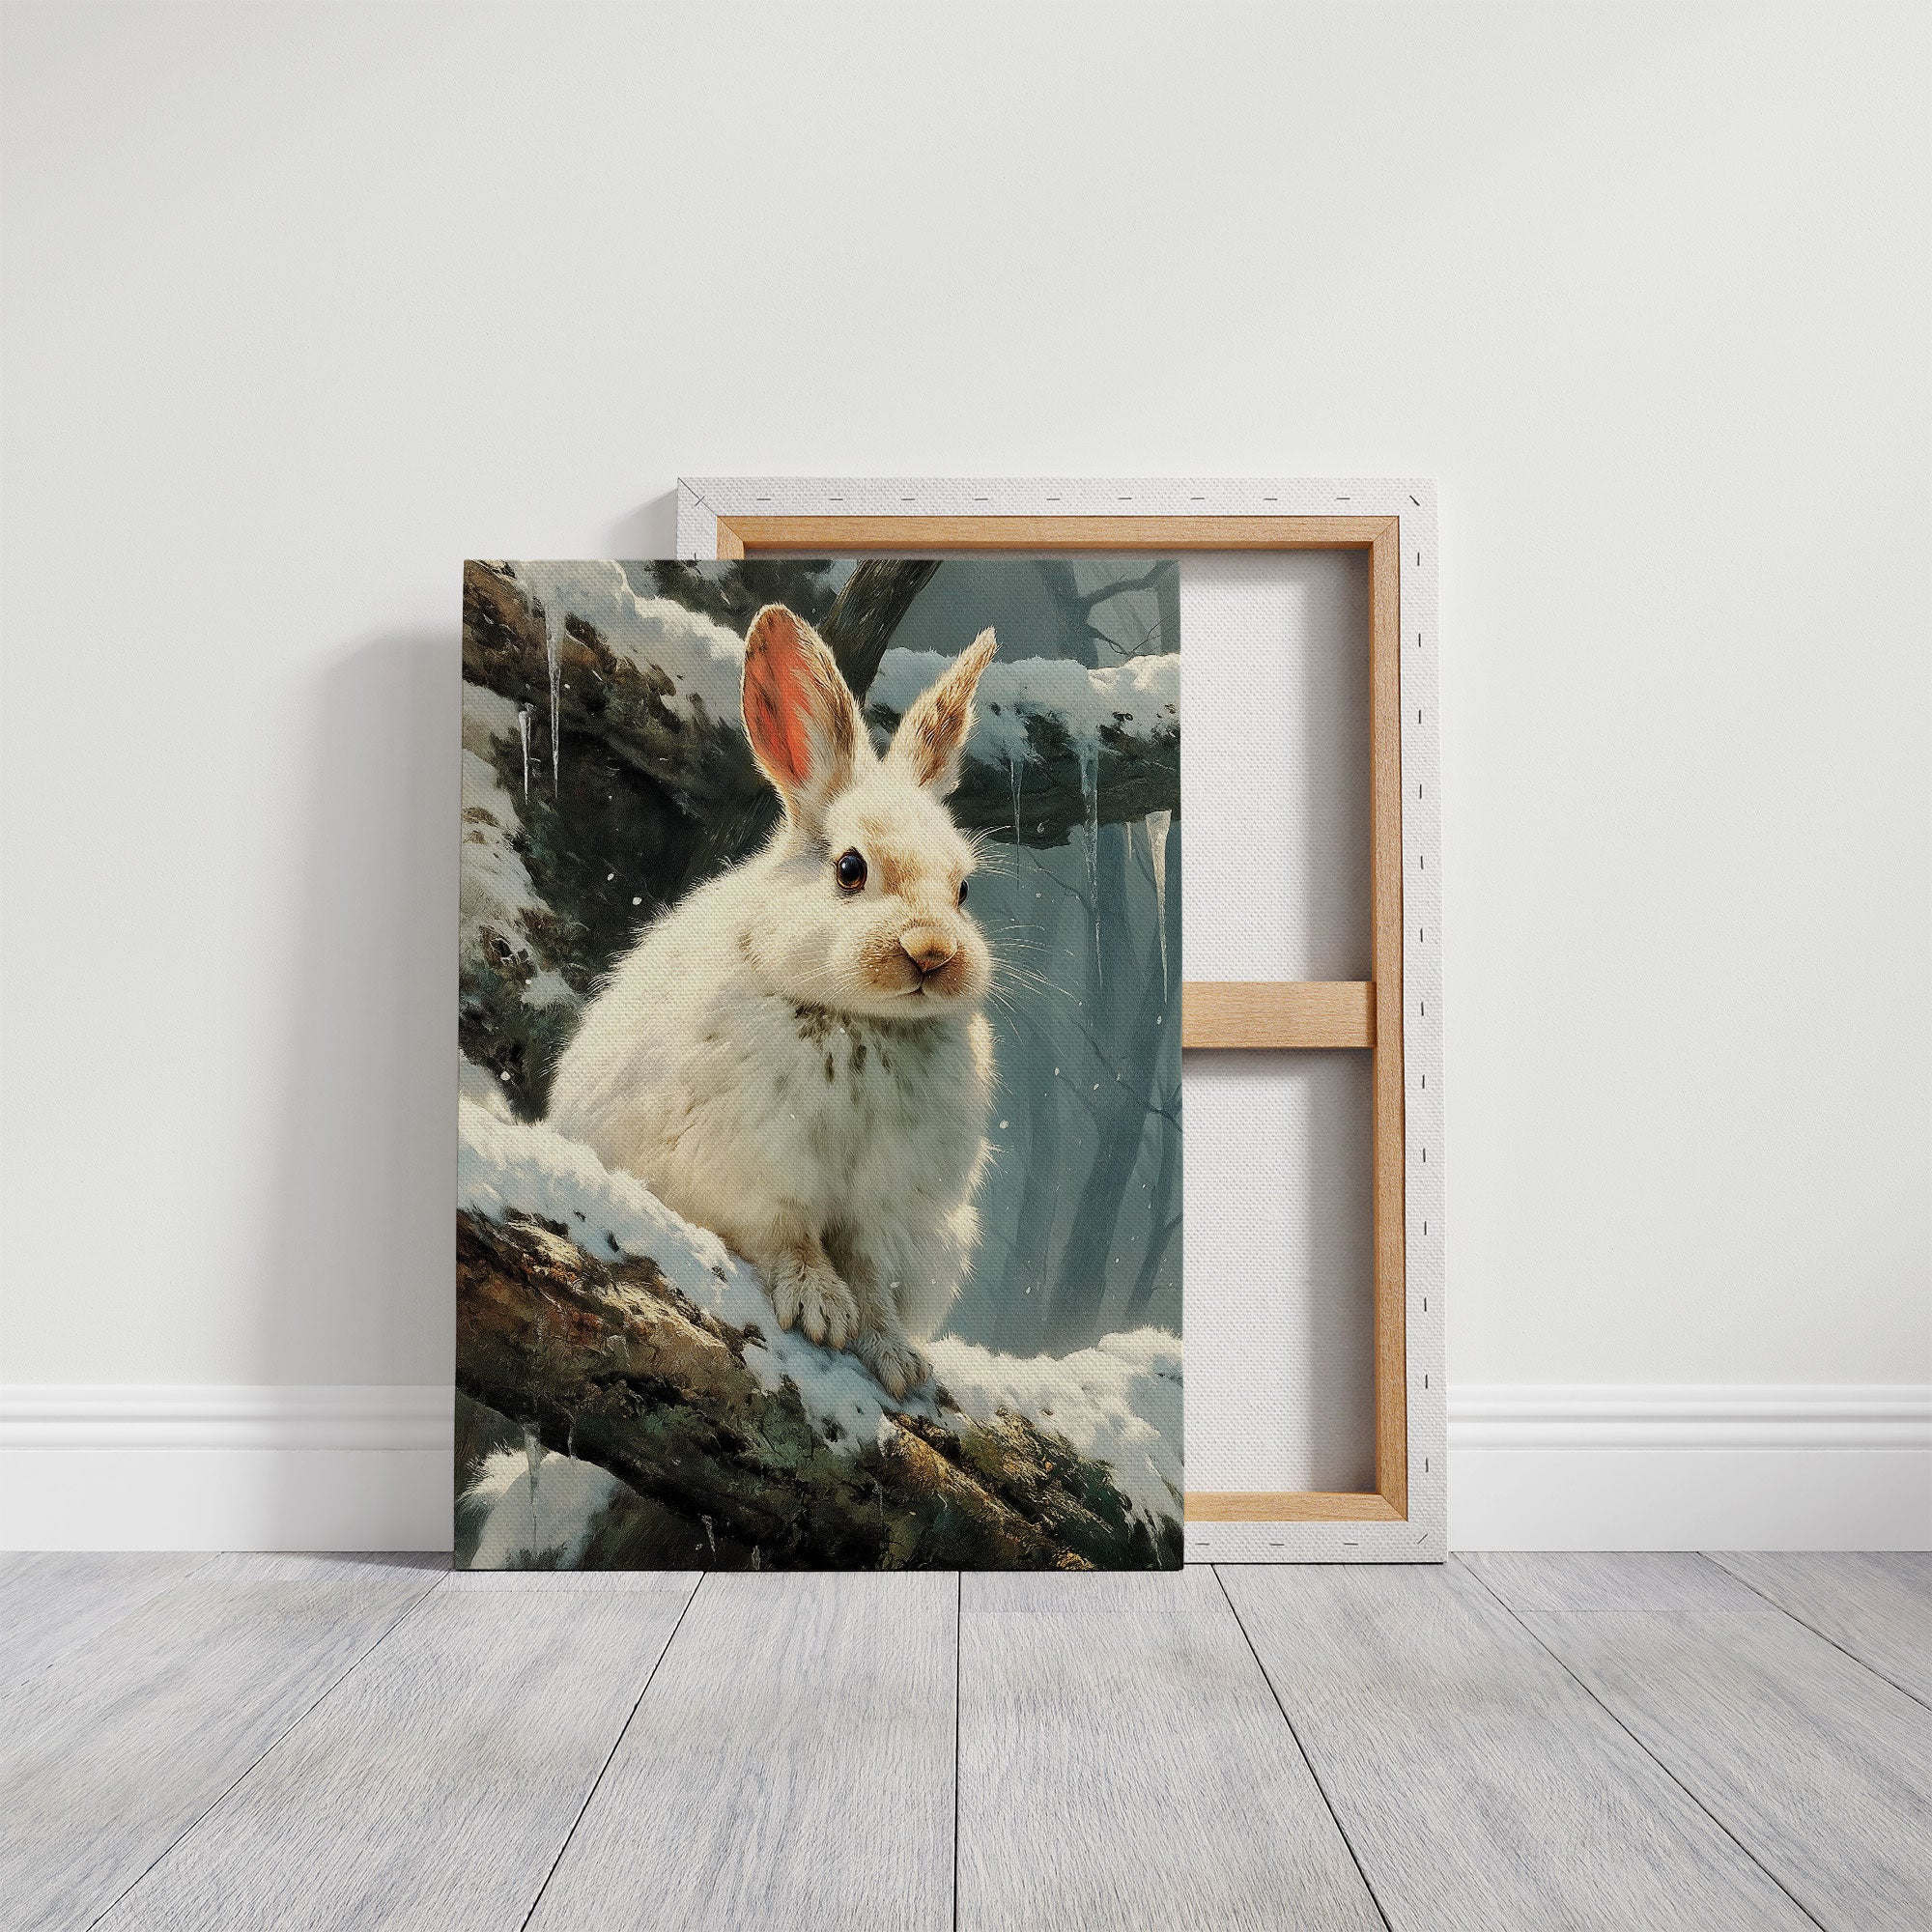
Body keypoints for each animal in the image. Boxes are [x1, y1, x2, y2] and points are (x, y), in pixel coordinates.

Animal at [548, 603, 998, 1400]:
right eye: (850, 869)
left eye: (964, 889)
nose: (933, 954)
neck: (861, 1021)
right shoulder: (756, 1175)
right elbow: (791, 1243)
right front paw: (820, 1310)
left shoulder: (883, 1216)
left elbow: (872, 1281)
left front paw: (896, 1357)